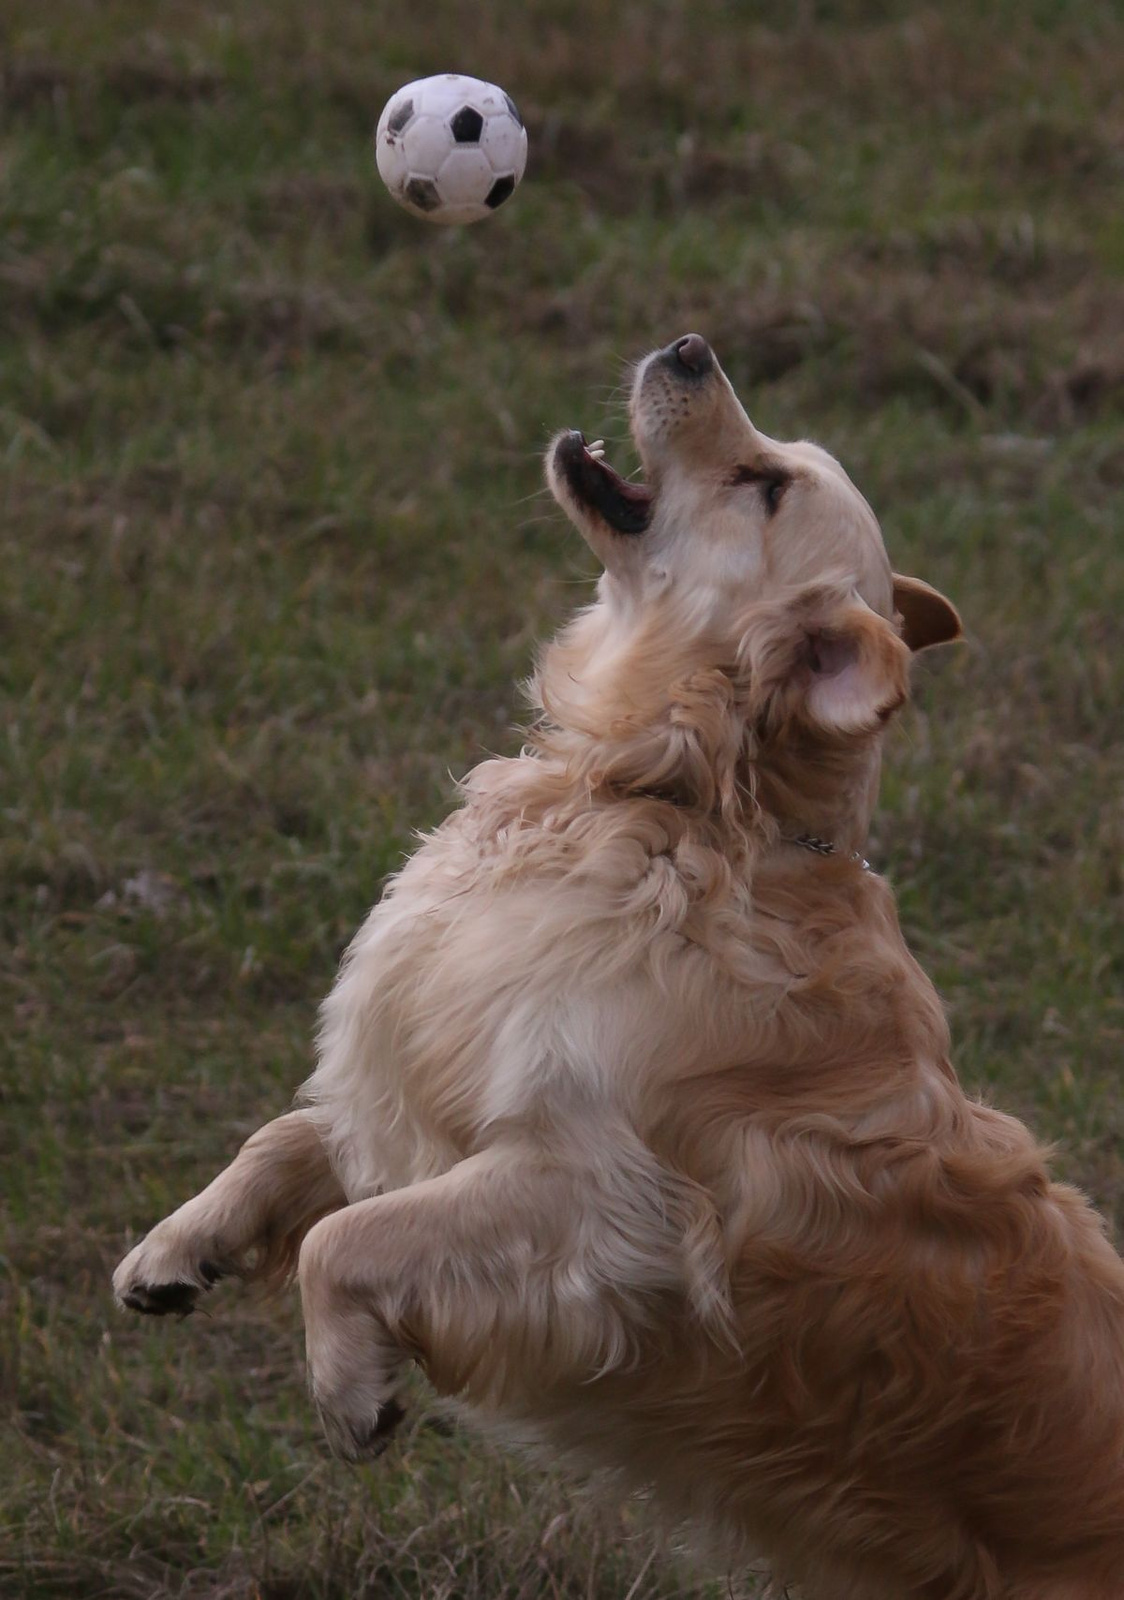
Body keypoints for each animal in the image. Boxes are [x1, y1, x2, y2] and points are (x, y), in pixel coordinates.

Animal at [112, 331, 1124, 1593]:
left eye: (763, 485)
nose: (688, 345)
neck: (672, 798)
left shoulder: (595, 1201)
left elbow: (341, 1239)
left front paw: (353, 1390)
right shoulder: (422, 1088)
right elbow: (290, 1133)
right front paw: (176, 1247)